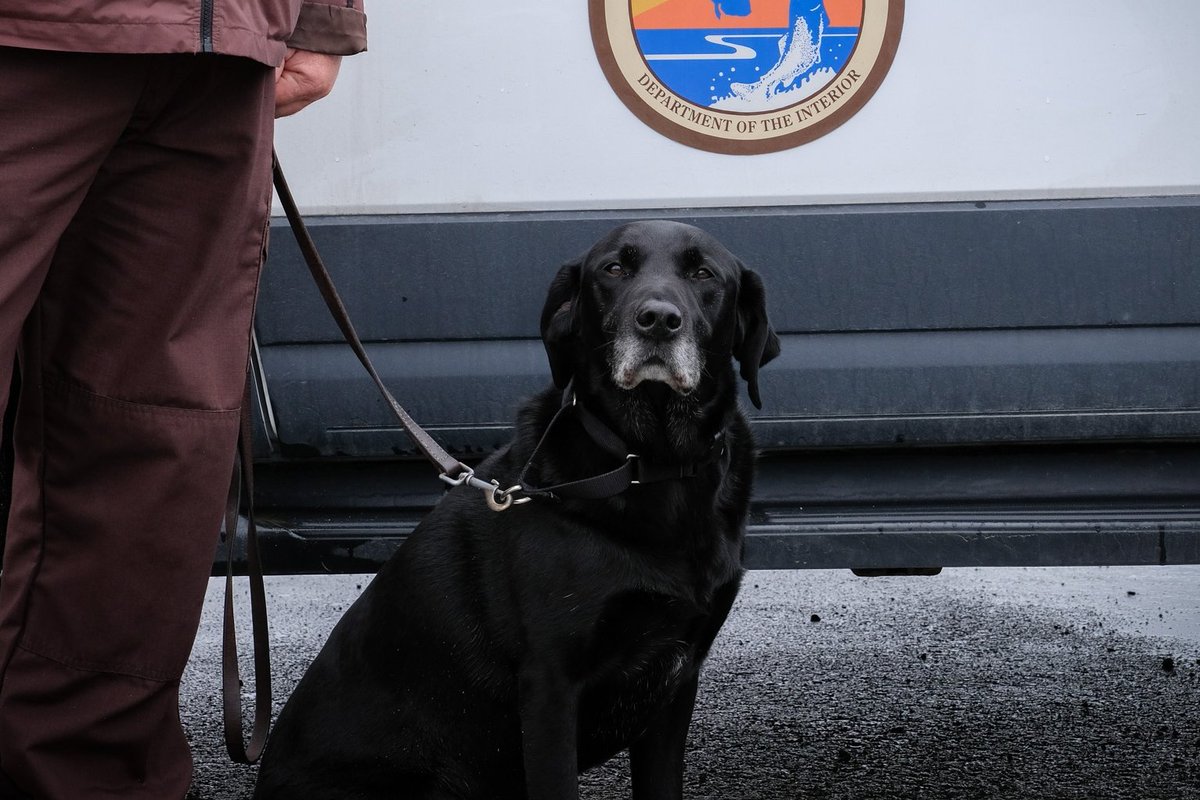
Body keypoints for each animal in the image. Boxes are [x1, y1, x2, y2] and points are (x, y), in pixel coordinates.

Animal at [253, 220, 777, 800]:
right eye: (614, 269)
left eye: (703, 273)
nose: (658, 320)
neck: (652, 465)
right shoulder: (550, 686)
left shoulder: (676, 681)